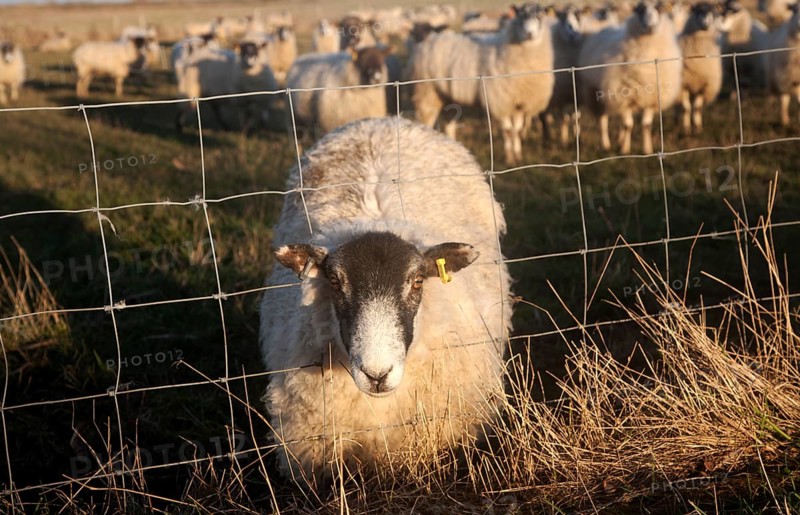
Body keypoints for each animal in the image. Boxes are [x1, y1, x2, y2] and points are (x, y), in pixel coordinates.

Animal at [411, 3, 555, 166]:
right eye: (520, 15)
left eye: (541, 16)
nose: (530, 33)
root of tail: (429, 40)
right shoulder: (500, 101)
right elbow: (507, 130)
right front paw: (509, 158)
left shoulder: (519, 101)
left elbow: (517, 130)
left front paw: (518, 156)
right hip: (426, 92)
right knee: (426, 119)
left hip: (447, 97)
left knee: (449, 123)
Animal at [578, 0, 682, 154]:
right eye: (640, 10)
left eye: (659, 9)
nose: (650, 26)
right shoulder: (622, 96)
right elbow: (628, 125)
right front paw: (625, 149)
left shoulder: (651, 98)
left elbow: (645, 125)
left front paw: (647, 149)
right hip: (593, 90)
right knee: (602, 119)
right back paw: (605, 144)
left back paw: (620, 139)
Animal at [678, 2, 724, 133]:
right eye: (696, 11)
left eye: (713, 12)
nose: (706, 24)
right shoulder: (684, 85)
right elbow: (686, 108)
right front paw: (687, 129)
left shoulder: (704, 85)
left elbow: (697, 108)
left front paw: (698, 128)